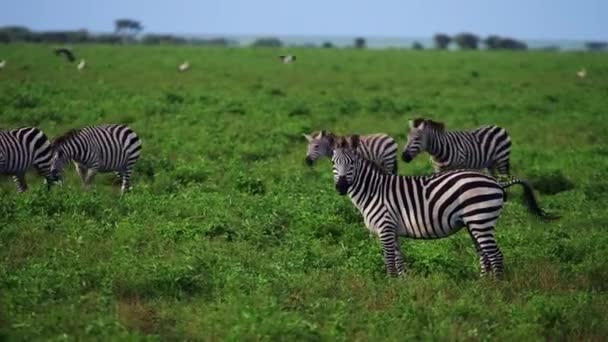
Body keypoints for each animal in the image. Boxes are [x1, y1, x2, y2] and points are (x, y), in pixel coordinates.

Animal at [330, 135, 552, 276]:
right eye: (333, 163)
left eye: (351, 163)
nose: (341, 187)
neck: (373, 190)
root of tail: (496, 182)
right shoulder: (392, 230)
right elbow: (399, 262)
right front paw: (403, 286)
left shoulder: (385, 227)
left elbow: (390, 261)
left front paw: (391, 288)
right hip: (475, 223)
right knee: (484, 255)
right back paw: (483, 287)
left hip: (481, 220)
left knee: (495, 255)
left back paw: (497, 290)